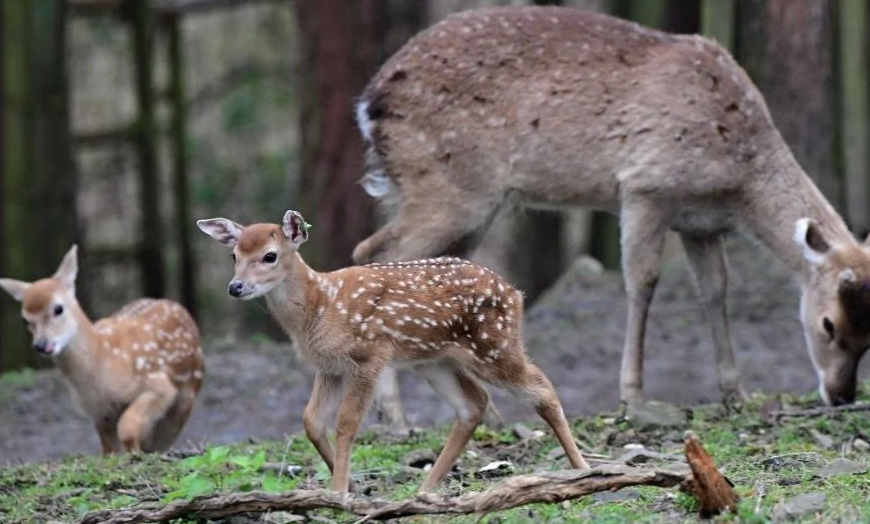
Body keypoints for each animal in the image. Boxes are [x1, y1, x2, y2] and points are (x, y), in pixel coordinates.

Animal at [0, 246, 204, 454]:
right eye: (25, 319)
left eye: (58, 308)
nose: (41, 345)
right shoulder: (99, 411)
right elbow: (109, 450)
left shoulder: (157, 384)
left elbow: (127, 428)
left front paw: (136, 453)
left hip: (187, 395)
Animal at [199, 211, 592, 494]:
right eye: (234, 255)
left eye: (270, 255)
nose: (235, 287)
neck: (320, 306)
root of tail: (515, 293)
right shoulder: (330, 367)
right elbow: (311, 421)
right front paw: (349, 483)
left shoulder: (370, 356)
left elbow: (346, 423)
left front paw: (338, 491)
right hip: (434, 360)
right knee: (473, 404)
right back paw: (426, 488)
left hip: (494, 345)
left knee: (541, 387)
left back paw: (583, 469)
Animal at [352, 5, 870, 430]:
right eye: (828, 324)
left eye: (868, 335)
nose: (842, 395)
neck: (738, 180)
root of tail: (369, 100)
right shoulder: (645, 186)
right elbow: (642, 283)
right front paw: (633, 397)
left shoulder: (699, 223)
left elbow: (716, 291)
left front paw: (735, 392)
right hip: (449, 188)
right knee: (376, 255)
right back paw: (396, 417)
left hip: (464, 205)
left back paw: (482, 413)